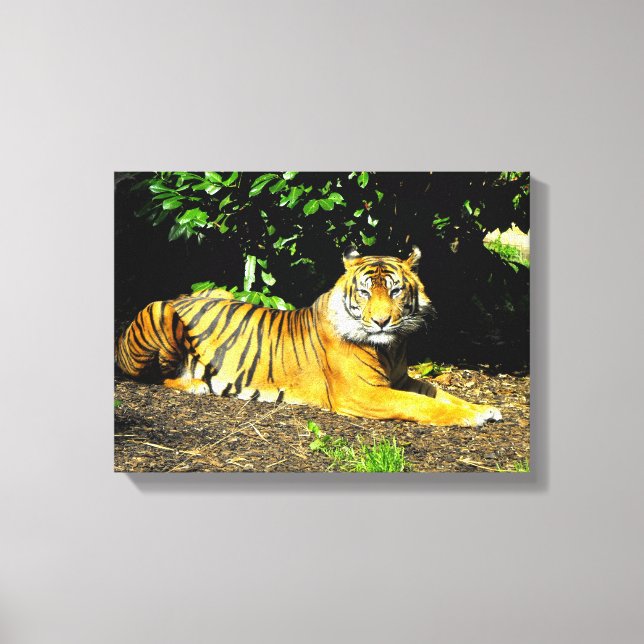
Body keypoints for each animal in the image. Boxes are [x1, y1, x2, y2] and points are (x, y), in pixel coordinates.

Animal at [115, 246, 502, 426]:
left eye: (394, 291)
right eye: (365, 292)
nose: (381, 322)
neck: (392, 348)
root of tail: (179, 297)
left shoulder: (401, 379)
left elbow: (442, 395)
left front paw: (485, 409)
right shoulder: (361, 393)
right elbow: (419, 404)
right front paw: (472, 417)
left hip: (219, 290)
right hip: (159, 310)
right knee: (153, 376)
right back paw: (196, 384)